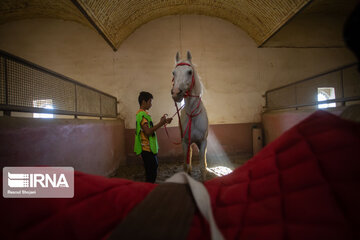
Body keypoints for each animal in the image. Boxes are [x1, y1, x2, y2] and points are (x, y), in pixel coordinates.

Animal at [171, 50, 208, 180]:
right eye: (173, 72)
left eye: (189, 72)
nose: (176, 93)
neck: (193, 115)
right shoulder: (185, 142)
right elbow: (186, 165)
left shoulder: (203, 142)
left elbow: (202, 166)